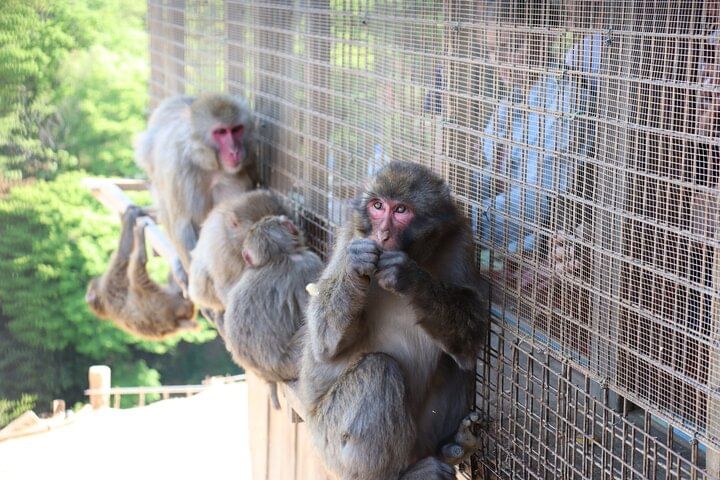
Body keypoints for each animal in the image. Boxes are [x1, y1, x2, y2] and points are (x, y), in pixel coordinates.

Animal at [85, 206, 198, 340]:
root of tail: (174, 320)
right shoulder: (109, 287)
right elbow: (123, 257)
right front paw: (129, 217)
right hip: (160, 296)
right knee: (138, 269)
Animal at [135, 93, 258, 288]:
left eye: (236, 129)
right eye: (221, 132)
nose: (234, 151)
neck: (207, 164)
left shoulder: (243, 167)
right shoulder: (180, 168)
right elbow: (184, 226)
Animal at [300, 161, 490, 480]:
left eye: (401, 210)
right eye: (378, 206)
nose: (383, 234)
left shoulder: (460, 239)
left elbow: (472, 334)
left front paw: (410, 277)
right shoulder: (351, 234)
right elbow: (324, 344)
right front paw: (356, 267)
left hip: (420, 436)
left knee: (456, 362)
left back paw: (451, 448)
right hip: (329, 440)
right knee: (378, 370)